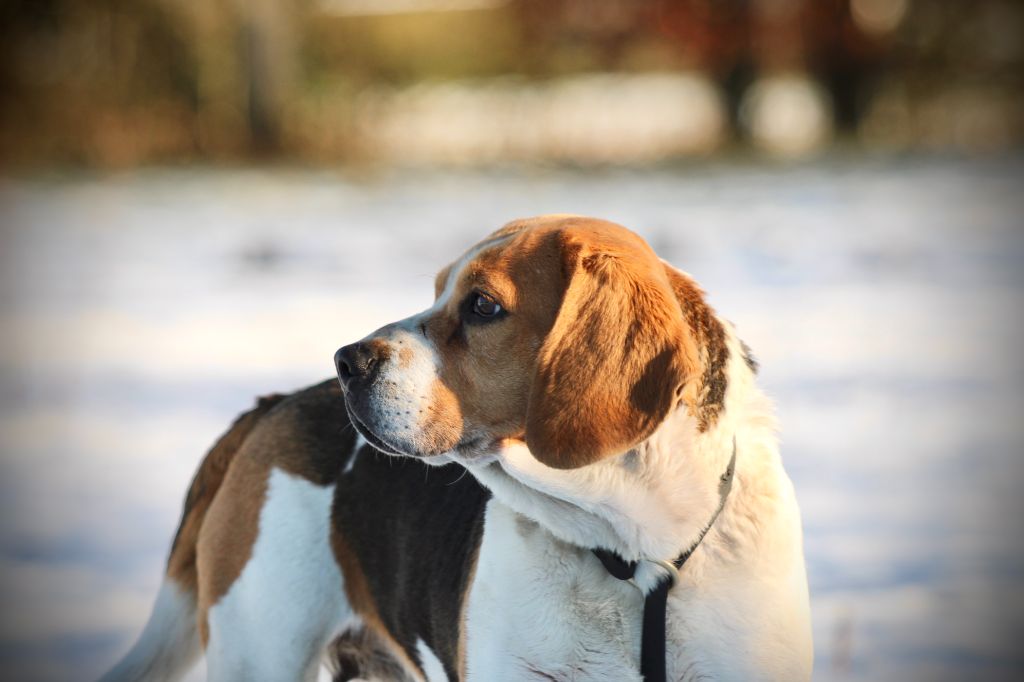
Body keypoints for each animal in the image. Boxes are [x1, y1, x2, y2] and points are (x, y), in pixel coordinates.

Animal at [99, 215, 811, 675]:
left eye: (482, 306)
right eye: (438, 291)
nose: (346, 362)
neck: (633, 552)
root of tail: (271, 405)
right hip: (261, 649)